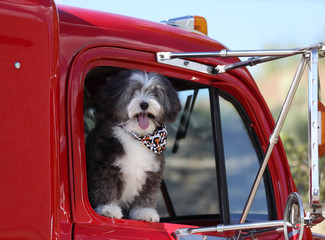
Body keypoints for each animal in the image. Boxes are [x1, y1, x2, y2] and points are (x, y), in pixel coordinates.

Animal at [85, 69, 181, 221]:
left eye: (155, 93)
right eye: (133, 92)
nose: (144, 104)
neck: (138, 136)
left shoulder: (152, 173)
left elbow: (146, 194)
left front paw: (144, 213)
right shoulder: (103, 165)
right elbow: (104, 188)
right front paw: (108, 210)